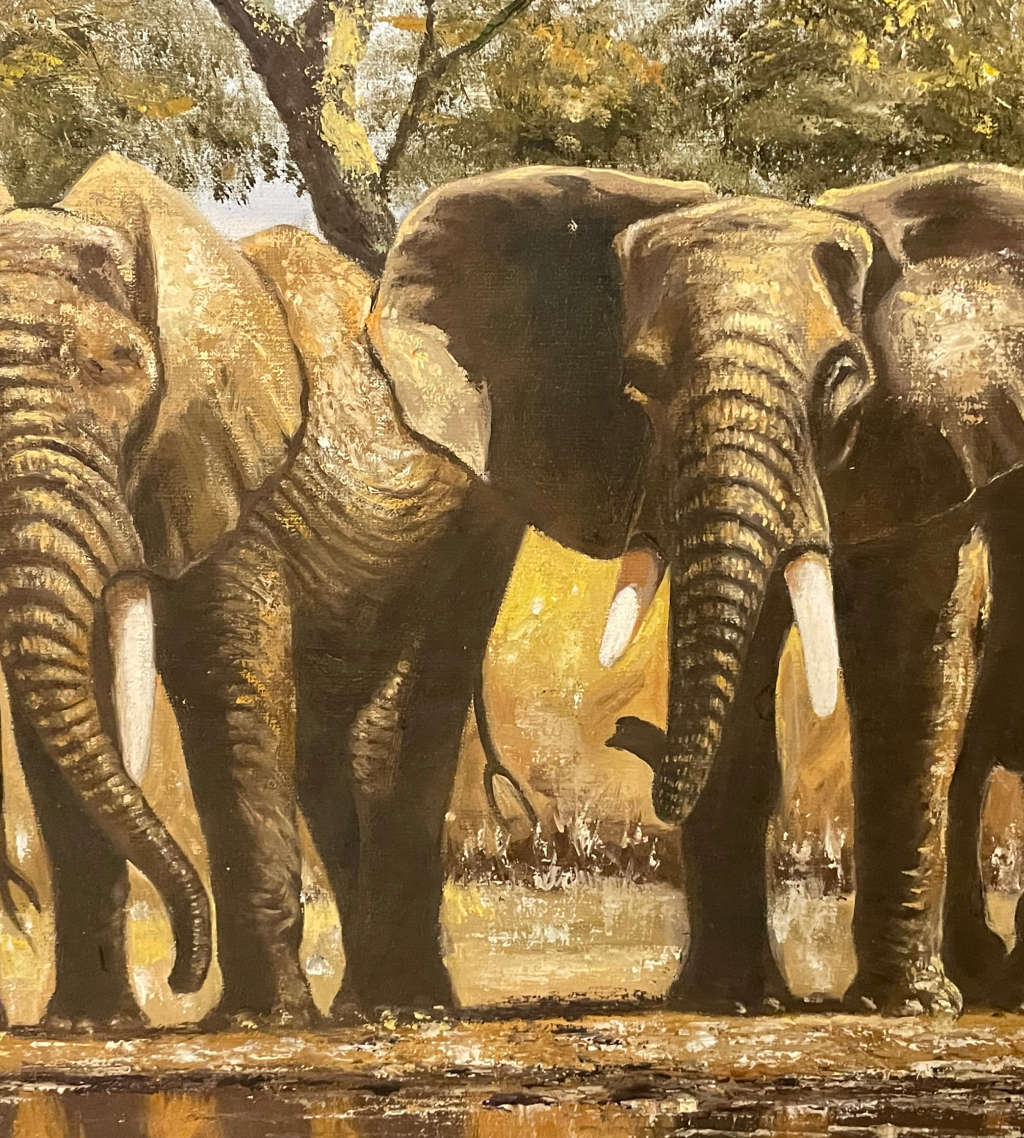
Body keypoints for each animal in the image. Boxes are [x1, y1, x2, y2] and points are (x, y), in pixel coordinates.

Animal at [0, 156, 717, 1029]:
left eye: (117, 366)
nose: (179, 971)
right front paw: (87, 1025)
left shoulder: (237, 479)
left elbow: (228, 692)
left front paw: (259, 1022)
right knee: (328, 744)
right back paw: (364, 1003)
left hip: (478, 518)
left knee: (401, 718)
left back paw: (398, 1006)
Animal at [606, 164, 1024, 1017]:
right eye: (641, 382)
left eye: (841, 375)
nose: (622, 731)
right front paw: (731, 1003)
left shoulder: (926, 440)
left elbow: (908, 666)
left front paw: (905, 1009)